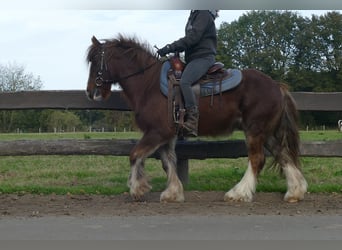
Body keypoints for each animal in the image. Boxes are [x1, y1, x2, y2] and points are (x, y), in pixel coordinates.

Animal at [85, 35, 308, 203]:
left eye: (95, 61)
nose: (90, 92)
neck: (149, 84)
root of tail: (277, 86)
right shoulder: (167, 135)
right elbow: (168, 162)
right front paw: (173, 192)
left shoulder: (157, 132)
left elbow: (135, 155)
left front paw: (137, 188)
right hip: (266, 132)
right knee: (283, 155)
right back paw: (295, 192)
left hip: (254, 130)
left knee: (257, 159)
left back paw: (238, 193)